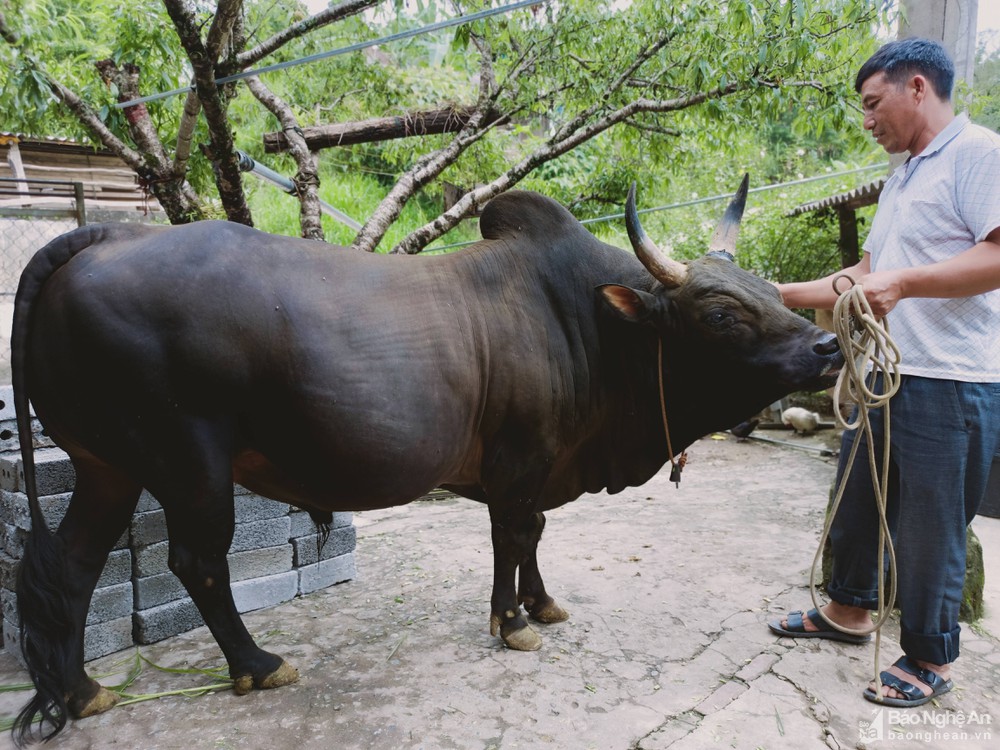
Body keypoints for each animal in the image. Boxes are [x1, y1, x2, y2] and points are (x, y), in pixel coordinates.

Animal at [11, 181, 840, 740]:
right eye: (721, 313)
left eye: (770, 288)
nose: (829, 344)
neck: (590, 322)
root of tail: (102, 236)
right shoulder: (518, 461)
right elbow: (512, 535)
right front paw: (513, 621)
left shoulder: (540, 465)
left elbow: (534, 536)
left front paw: (541, 602)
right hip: (190, 463)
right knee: (197, 562)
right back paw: (258, 663)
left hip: (108, 466)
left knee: (70, 567)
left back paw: (81, 691)